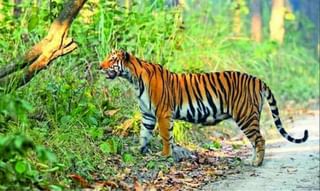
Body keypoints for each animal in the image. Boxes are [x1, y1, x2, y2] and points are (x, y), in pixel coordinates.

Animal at [99, 50, 308, 166]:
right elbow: (144, 134)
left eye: (112, 59)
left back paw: (257, 163)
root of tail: (257, 79)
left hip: (245, 115)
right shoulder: (148, 115)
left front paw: (165, 155)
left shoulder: (163, 113)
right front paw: (139, 151)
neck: (133, 79)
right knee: (255, 141)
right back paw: (252, 160)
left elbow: (166, 136)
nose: (100, 67)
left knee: (259, 139)